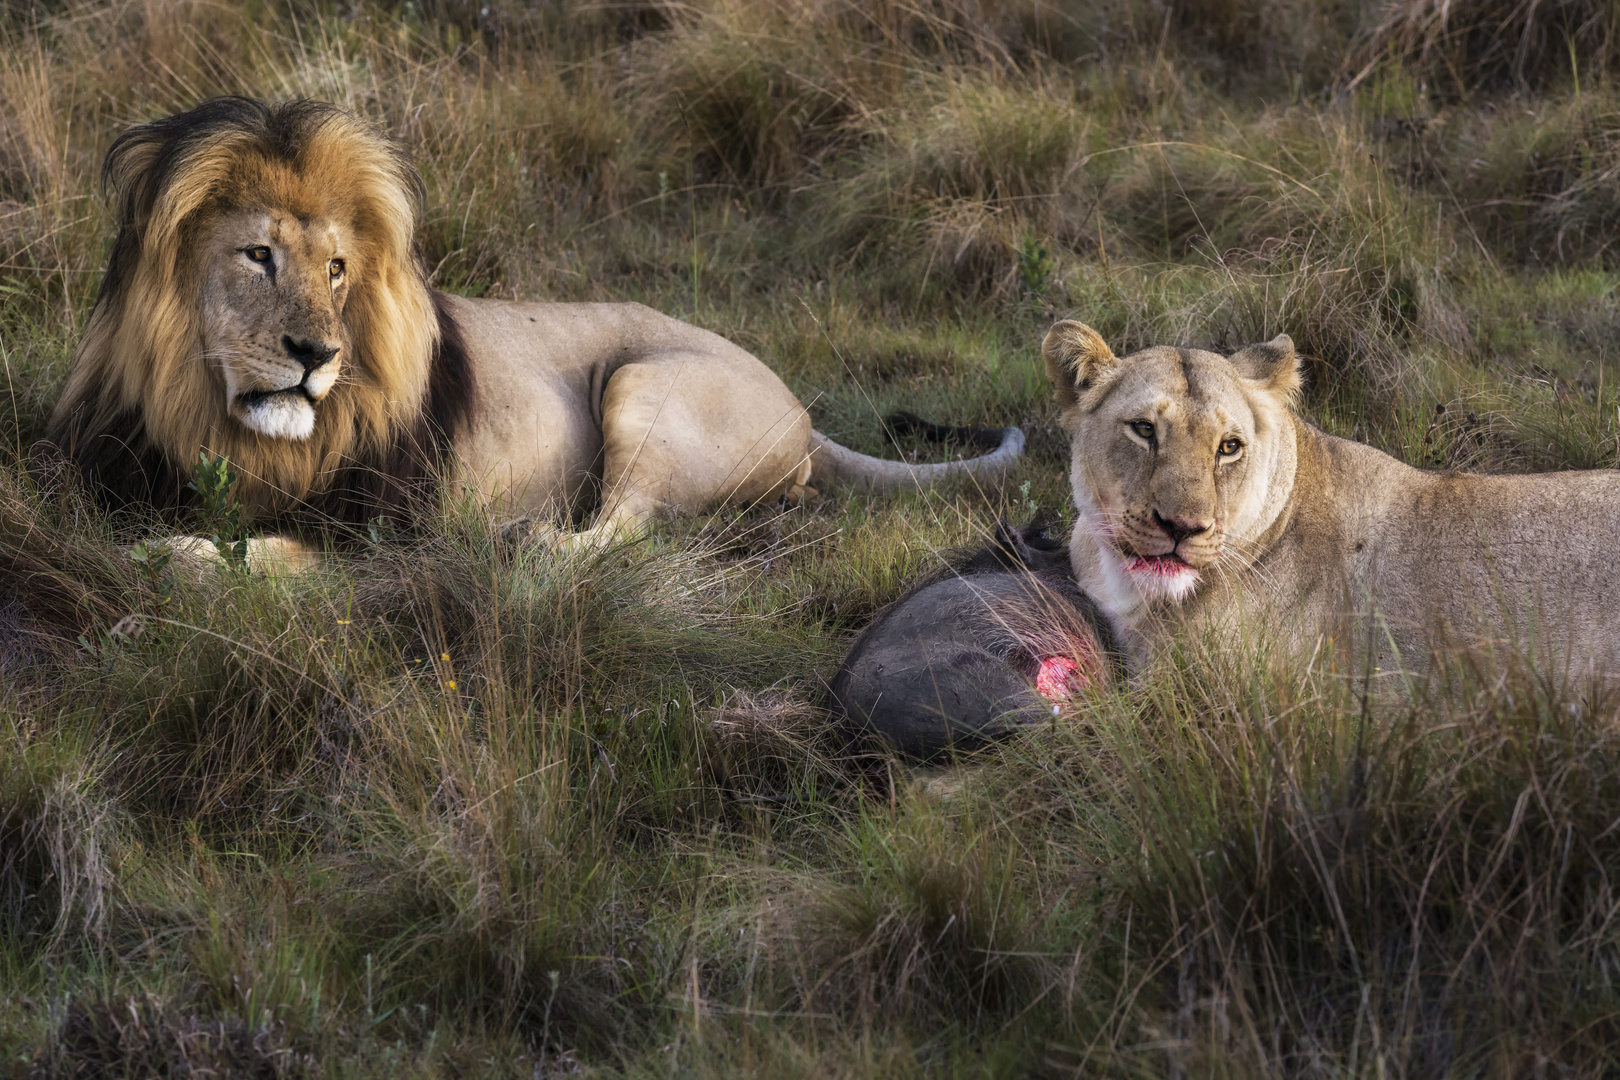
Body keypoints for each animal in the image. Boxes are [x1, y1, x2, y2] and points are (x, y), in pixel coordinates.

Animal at [44, 97, 1017, 563]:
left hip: (645, 384)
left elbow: (254, 551)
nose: (318, 356)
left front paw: (171, 562)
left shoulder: (381, 531)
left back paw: (529, 542)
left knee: (625, 532)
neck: (229, 426)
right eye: (259, 255)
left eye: (337, 270)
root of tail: (806, 413)